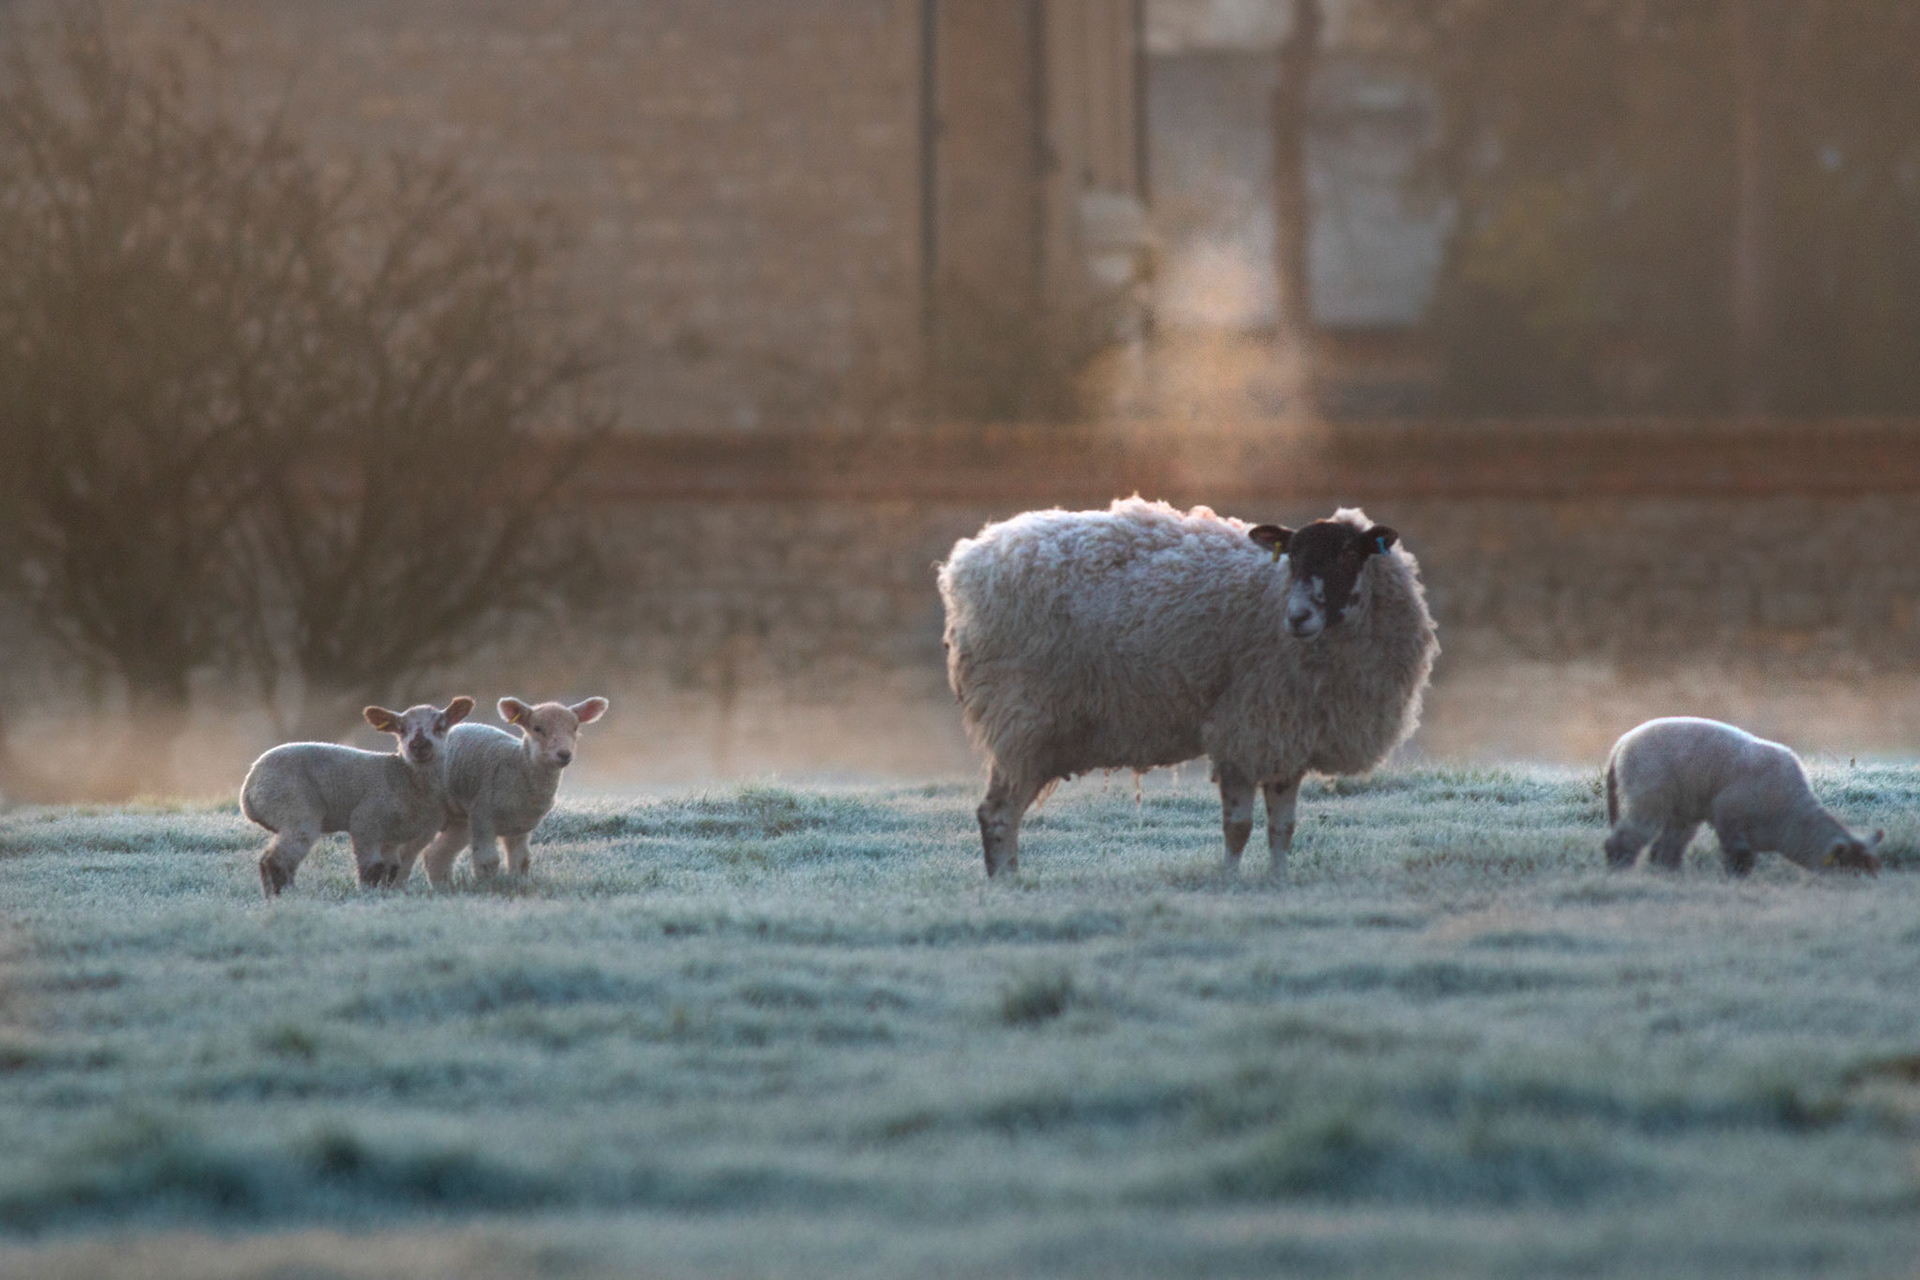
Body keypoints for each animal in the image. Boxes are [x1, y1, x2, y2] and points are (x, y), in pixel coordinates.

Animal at [240, 698, 475, 897]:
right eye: (401, 729)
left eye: (440, 726)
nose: (418, 745)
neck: (405, 779)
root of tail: (249, 788)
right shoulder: (366, 821)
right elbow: (372, 869)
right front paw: (367, 895)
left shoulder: (393, 837)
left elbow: (391, 870)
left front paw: (386, 894)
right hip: (294, 809)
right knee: (276, 860)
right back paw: (285, 897)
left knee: (271, 861)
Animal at [402, 696, 610, 887]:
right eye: (537, 728)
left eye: (575, 728)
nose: (564, 754)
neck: (518, 767)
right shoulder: (483, 816)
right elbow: (488, 861)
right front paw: (488, 888)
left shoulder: (520, 827)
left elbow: (522, 862)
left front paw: (518, 884)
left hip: (460, 819)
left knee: (436, 853)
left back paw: (442, 886)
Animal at [936, 497, 1438, 877]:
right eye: (1292, 558)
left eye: (1348, 556)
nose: (1297, 617)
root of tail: (966, 569)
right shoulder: (1246, 727)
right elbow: (1238, 825)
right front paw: (1230, 880)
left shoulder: (1286, 734)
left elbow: (1282, 828)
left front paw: (1277, 879)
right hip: (1021, 716)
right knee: (997, 814)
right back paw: (1007, 885)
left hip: (1032, 732)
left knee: (1004, 812)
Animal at [1603, 716, 1883, 876]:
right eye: (1852, 868)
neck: (1791, 817)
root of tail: (1620, 745)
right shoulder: (1730, 818)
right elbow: (1739, 858)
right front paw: (1737, 879)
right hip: (1648, 794)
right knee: (1629, 836)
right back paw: (1618, 868)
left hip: (1683, 809)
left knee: (1665, 848)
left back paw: (1669, 873)